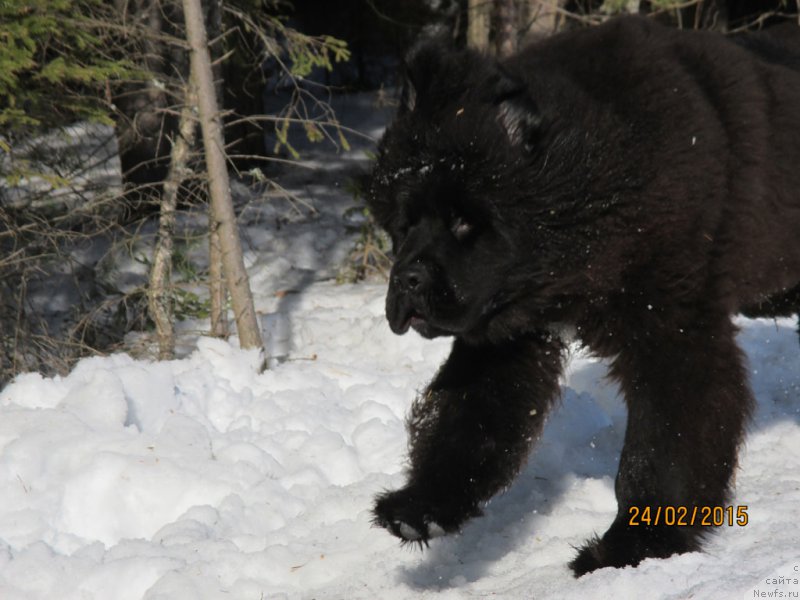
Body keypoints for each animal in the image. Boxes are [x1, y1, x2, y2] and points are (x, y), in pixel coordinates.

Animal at [366, 16, 800, 576]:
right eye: (403, 225)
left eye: (465, 223)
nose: (408, 279)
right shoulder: (507, 337)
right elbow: (467, 420)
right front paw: (421, 508)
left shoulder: (671, 329)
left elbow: (658, 447)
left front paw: (630, 551)